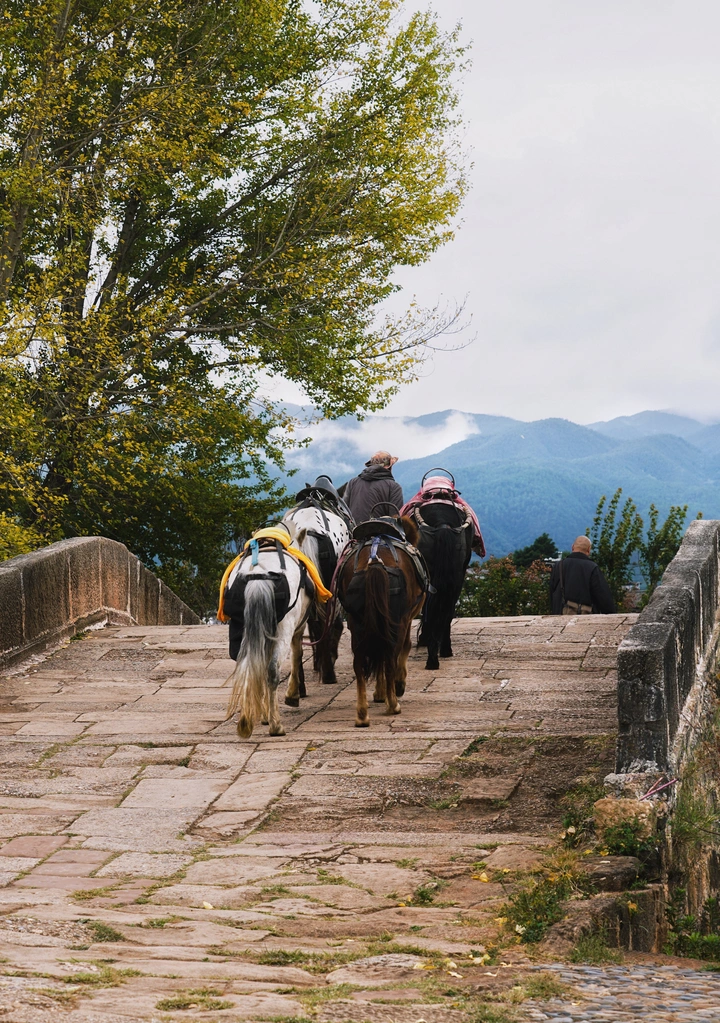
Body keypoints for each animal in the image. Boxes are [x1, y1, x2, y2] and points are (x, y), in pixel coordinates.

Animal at [219, 523, 330, 738]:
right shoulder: (297, 628)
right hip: (284, 629)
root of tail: (258, 577)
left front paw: (263, 714)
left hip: (240, 627)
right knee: (272, 669)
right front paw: (292, 697)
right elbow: (297, 654)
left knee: (248, 665)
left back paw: (247, 721)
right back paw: (276, 726)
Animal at [336, 512, 427, 727]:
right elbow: (405, 647)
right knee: (390, 656)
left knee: (360, 663)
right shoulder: (406, 618)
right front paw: (396, 686)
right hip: (396, 621)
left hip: (358, 623)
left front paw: (379, 692)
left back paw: (362, 714)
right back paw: (393, 704)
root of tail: (374, 561)